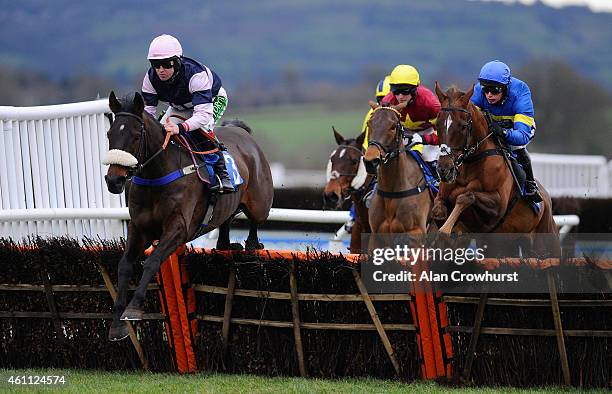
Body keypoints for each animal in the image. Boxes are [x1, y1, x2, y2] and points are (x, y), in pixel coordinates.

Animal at [102, 91, 272, 340]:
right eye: (109, 134)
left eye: (136, 135)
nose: (114, 180)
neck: (157, 175)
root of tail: (242, 133)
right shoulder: (138, 227)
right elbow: (124, 265)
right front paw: (117, 324)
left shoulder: (179, 228)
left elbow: (152, 261)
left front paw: (133, 308)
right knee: (226, 220)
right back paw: (226, 244)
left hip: (260, 203)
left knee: (255, 220)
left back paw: (251, 243)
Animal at [364, 102, 436, 237]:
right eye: (369, 124)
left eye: (393, 127)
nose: (370, 161)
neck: (391, 192)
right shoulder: (376, 233)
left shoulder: (416, 230)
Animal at [430, 83, 560, 255]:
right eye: (437, 124)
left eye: (463, 126)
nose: (444, 170)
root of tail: (547, 202)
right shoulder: (441, 197)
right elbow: (438, 211)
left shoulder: (497, 206)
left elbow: (466, 196)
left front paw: (445, 230)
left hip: (545, 241)